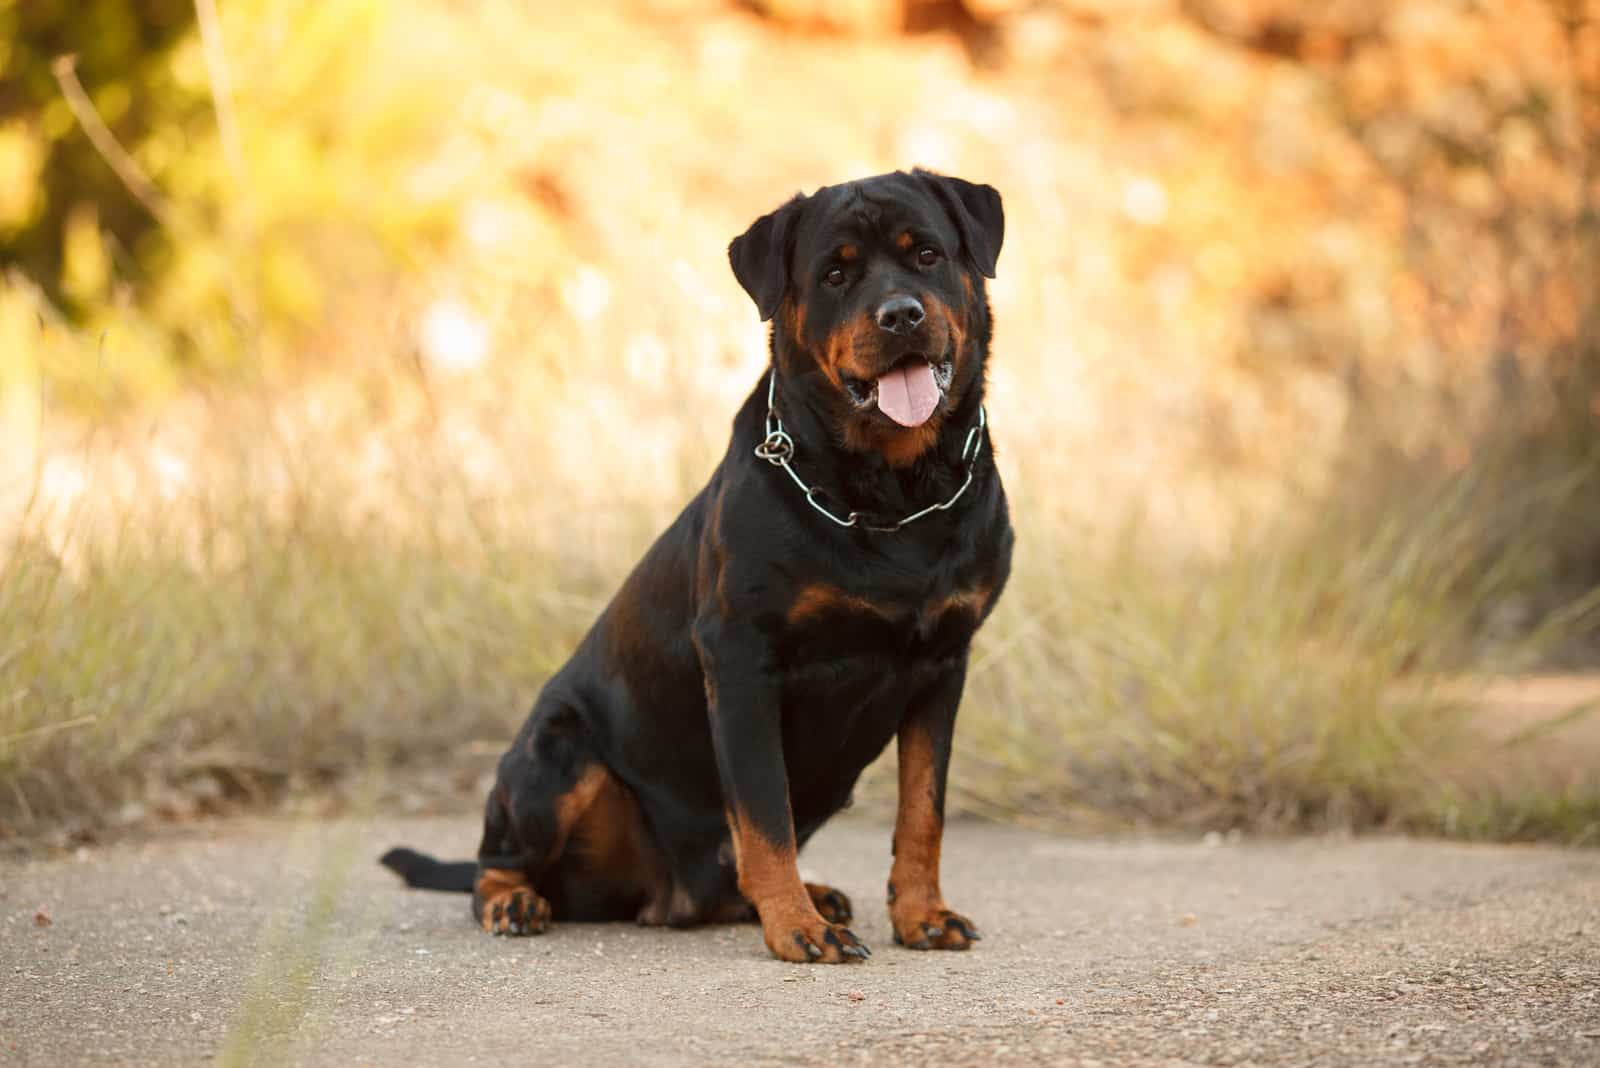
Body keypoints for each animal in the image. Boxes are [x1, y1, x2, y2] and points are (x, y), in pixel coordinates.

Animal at [380, 171, 1011, 965]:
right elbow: (764, 814)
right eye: (835, 274)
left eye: (926, 253)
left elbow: (923, 810)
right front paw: (798, 928)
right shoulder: (741, 658)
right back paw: (514, 900)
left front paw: (922, 914)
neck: (893, 492)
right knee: (496, 862)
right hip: (557, 754)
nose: (900, 314)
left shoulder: (943, 664)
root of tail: (664, 896)